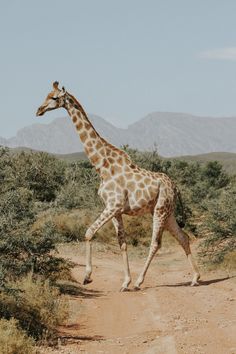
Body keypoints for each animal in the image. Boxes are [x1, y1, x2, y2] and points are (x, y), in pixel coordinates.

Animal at [36, 82, 200, 290]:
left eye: (54, 98)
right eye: (46, 94)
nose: (39, 110)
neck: (102, 166)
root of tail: (176, 187)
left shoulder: (113, 206)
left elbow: (89, 232)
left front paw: (87, 276)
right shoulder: (116, 210)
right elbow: (122, 243)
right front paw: (125, 281)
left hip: (160, 210)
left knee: (156, 243)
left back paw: (139, 282)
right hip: (167, 212)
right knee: (183, 237)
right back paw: (195, 278)